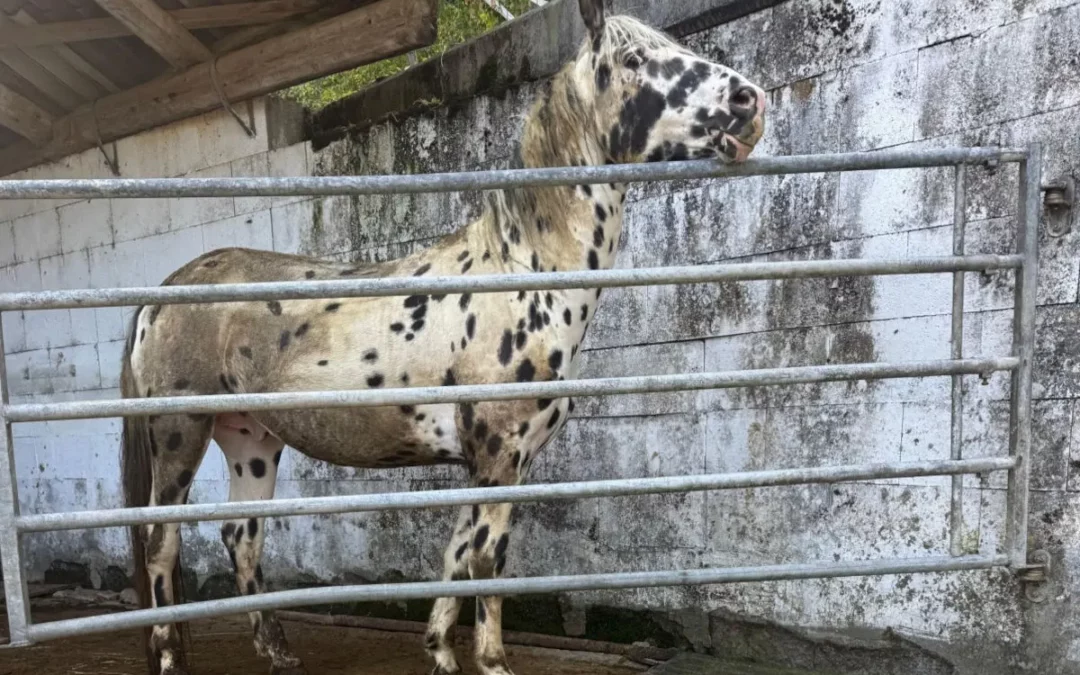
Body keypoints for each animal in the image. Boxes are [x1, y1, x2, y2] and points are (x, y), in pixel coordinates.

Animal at [120, 1, 766, 673]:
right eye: (635, 59)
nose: (750, 101)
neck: (521, 274)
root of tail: (165, 290)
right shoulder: (500, 457)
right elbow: (486, 563)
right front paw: (493, 661)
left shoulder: (491, 463)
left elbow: (456, 558)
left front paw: (441, 653)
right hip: (181, 435)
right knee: (161, 542)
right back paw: (168, 657)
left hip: (250, 439)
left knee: (241, 536)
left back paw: (277, 651)